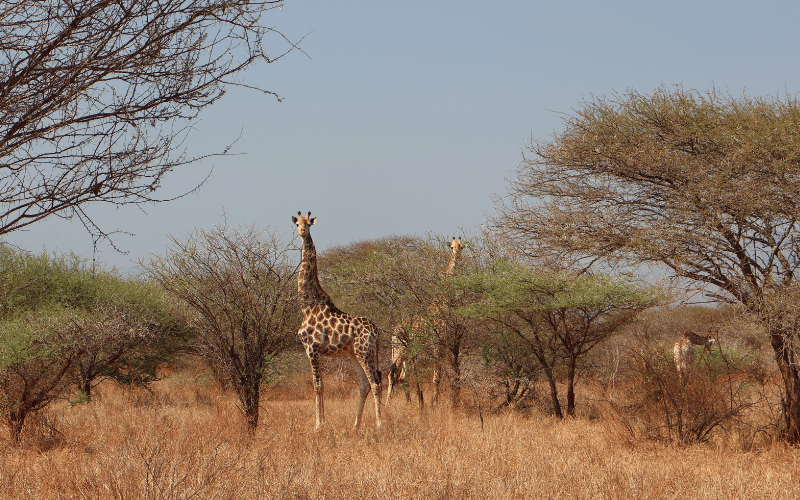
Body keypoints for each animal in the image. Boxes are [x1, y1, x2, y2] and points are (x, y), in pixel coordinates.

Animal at [292, 211, 382, 429]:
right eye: (297, 223)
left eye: (309, 224)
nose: (302, 231)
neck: (307, 305)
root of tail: (376, 331)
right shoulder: (312, 350)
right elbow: (320, 385)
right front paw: (321, 423)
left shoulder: (312, 348)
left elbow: (318, 385)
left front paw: (318, 425)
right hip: (354, 353)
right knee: (364, 384)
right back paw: (355, 425)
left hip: (365, 352)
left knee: (375, 383)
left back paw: (379, 425)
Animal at [387, 236, 464, 406]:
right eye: (451, 247)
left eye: (461, 246)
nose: (457, 254)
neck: (443, 303)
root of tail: (393, 331)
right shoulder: (437, 343)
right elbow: (436, 377)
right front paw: (434, 403)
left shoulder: (447, 342)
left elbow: (447, 374)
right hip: (399, 349)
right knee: (392, 373)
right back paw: (386, 404)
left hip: (407, 351)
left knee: (403, 376)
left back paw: (410, 404)